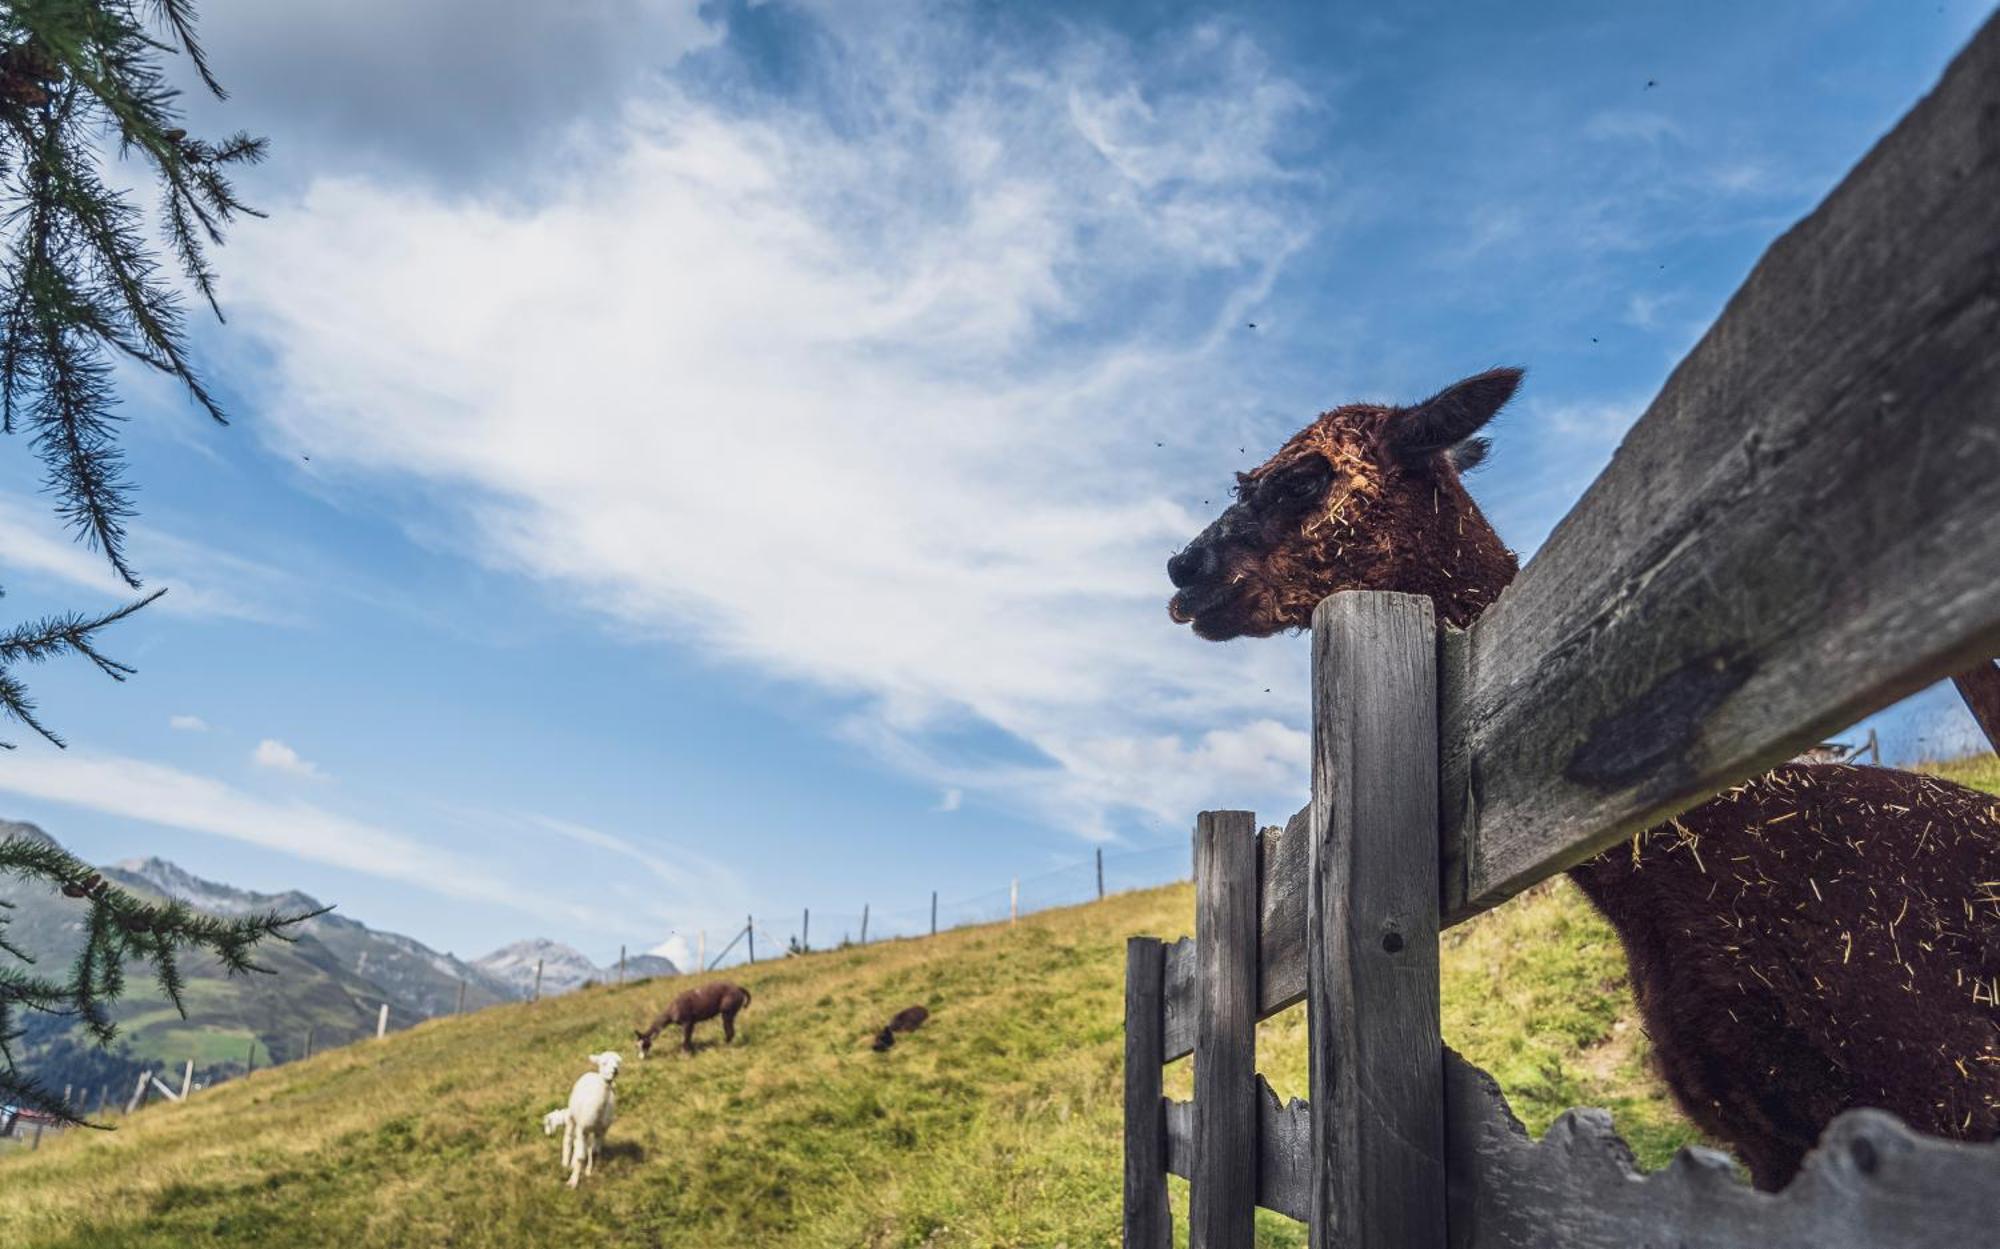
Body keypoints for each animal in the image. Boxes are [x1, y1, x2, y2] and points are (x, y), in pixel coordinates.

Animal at [556, 1048, 616, 1184]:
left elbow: (595, 1152)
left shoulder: (602, 1130)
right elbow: (580, 1156)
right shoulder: (582, 1128)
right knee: (569, 1139)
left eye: (618, 1063)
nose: (615, 1071)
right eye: (603, 1063)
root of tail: (591, 1074)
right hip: (573, 1117)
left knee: (585, 1145)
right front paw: (573, 1181)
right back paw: (565, 1163)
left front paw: (589, 1172)